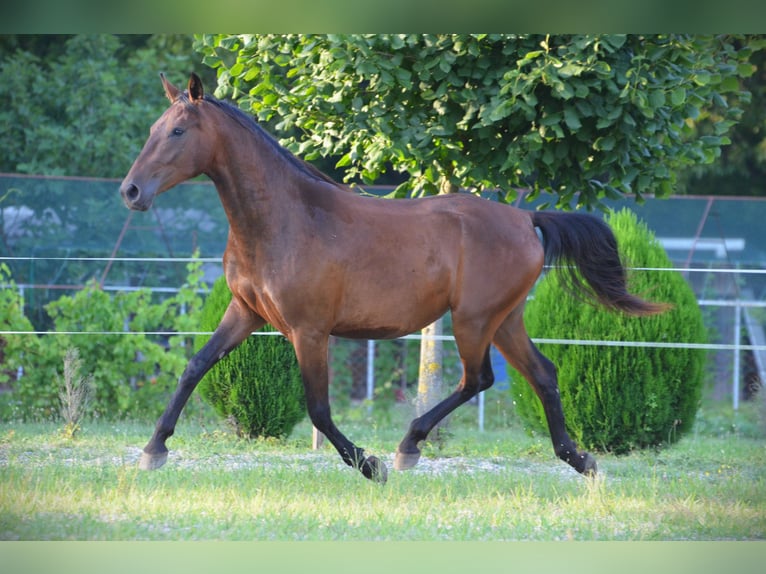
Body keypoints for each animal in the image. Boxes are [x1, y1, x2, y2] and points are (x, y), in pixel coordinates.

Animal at [118, 74, 664, 484]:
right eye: (154, 128)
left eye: (178, 132)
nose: (131, 191)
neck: (285, 219)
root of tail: (526, 218)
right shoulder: (246, 313)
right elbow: (194, 367)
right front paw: (153, 449)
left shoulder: (309, 330)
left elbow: (318, 409)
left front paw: (370, 465)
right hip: (505, 319)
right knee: (543, 375)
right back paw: (581, 460)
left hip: (474, 319)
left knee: (478, 378)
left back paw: (408, 446)